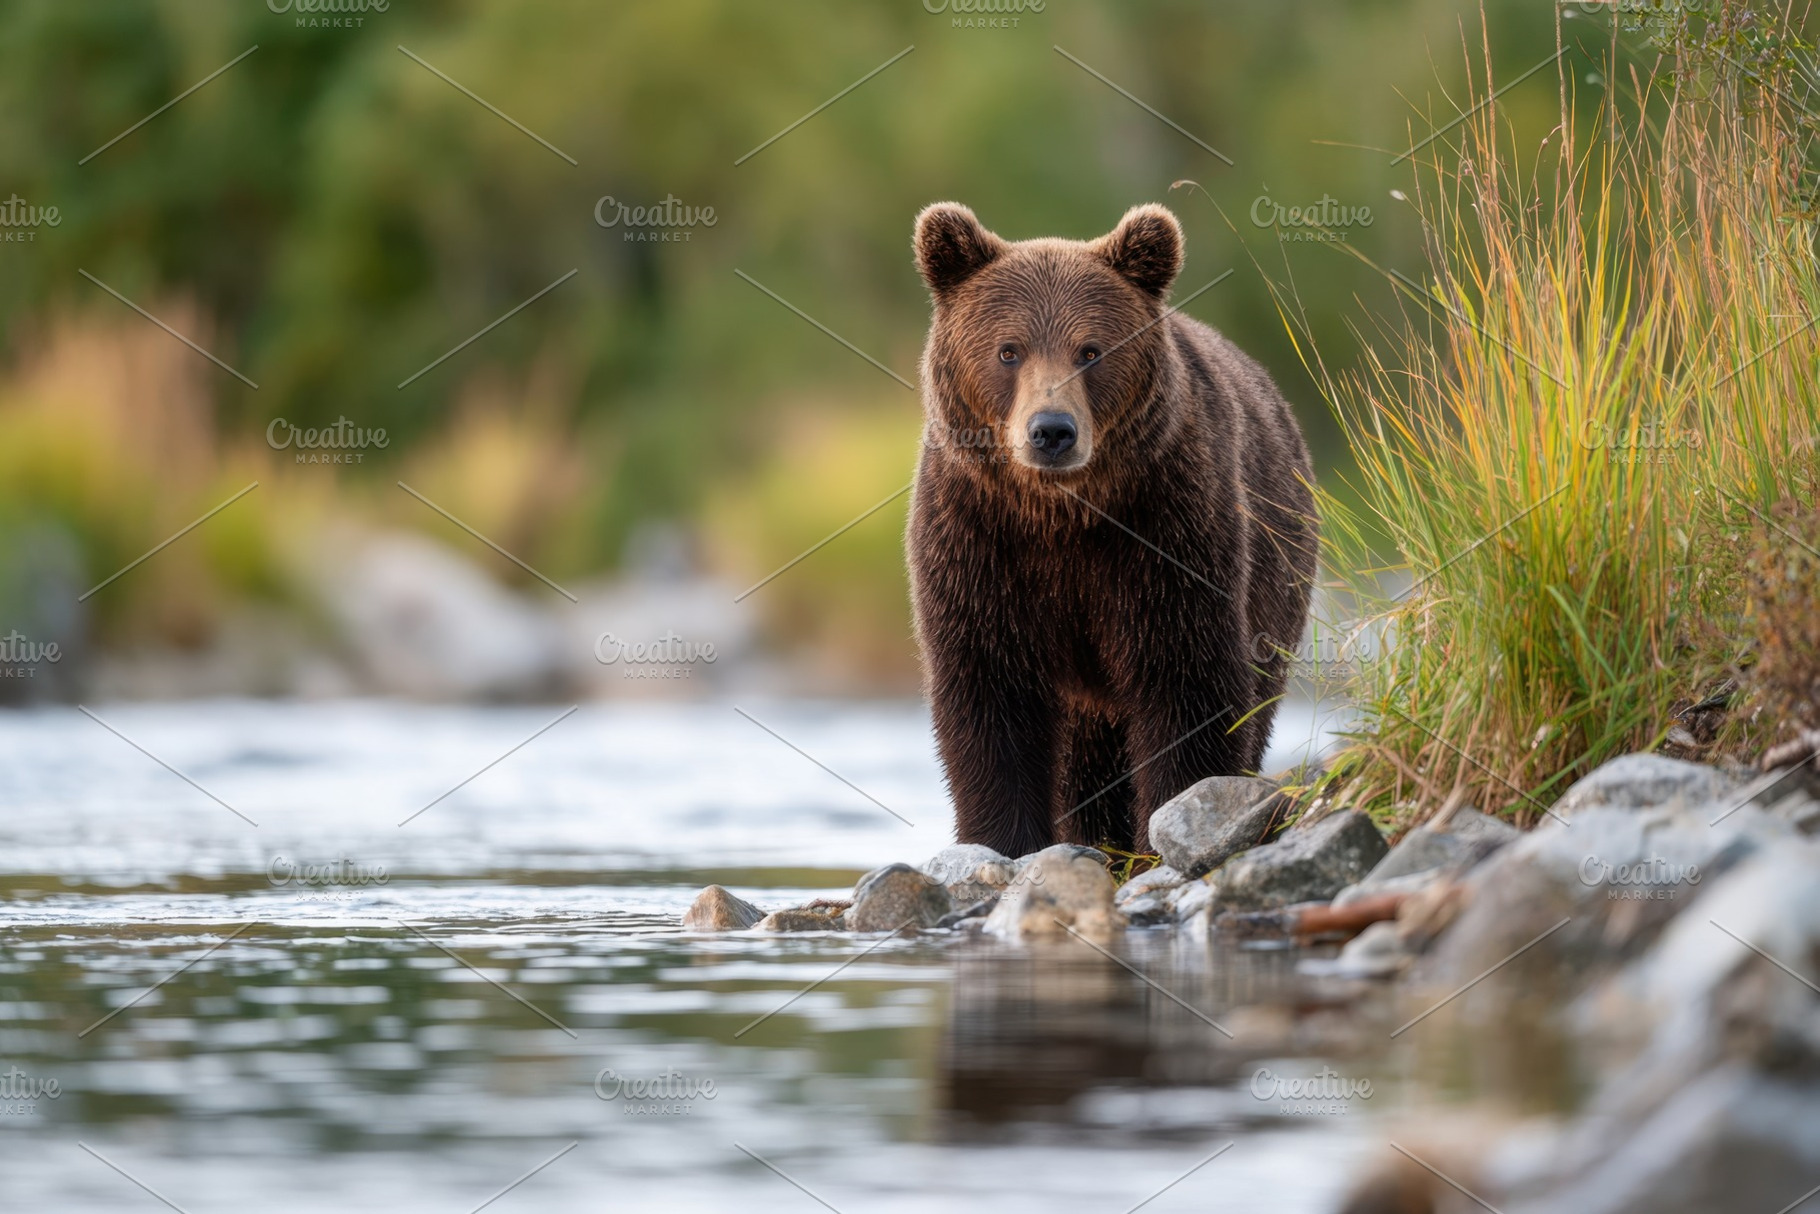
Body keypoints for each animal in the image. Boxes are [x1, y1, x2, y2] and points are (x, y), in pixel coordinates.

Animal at [906, 201, 1318, 858]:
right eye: (1009, 350)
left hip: (1279, 565)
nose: (1051, 430)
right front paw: (1003, 842)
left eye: (1091, 350)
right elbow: (990, 695)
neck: (1064, 515)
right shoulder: (977, 537)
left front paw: (1170, 822)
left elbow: (1186, 679)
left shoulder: (1166, 529)